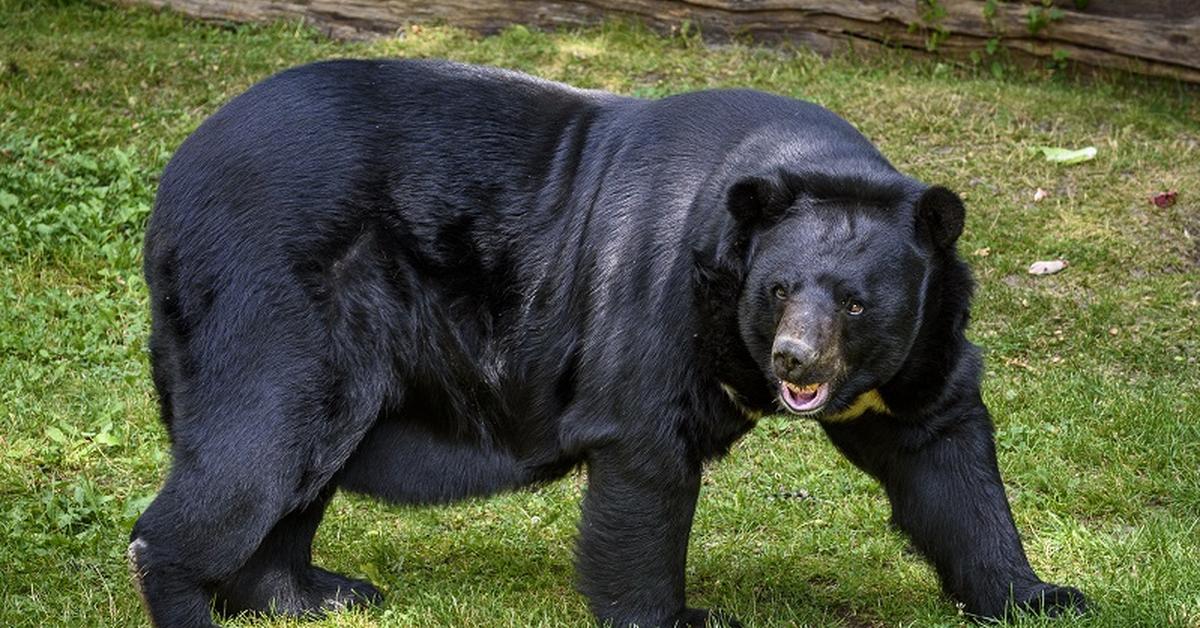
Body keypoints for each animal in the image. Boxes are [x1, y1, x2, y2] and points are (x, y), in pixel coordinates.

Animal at [131, 58, 1089, 628]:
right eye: (778, 289)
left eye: (856, 305)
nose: (794, 362)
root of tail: (177, 175)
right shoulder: (657, 289)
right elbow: (645, 454)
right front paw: (680, 615)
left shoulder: (920, 347)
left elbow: (943, 452)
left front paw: (1044, 595)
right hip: (277, 296)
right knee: (260, 446)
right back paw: (196, 596)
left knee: (298, 469)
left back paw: (313, 593)